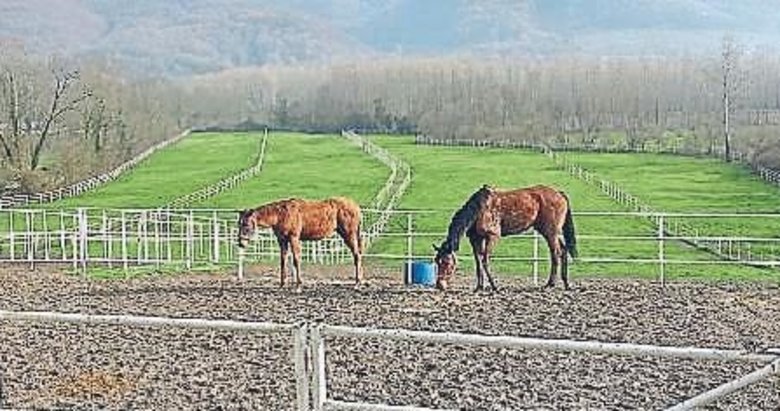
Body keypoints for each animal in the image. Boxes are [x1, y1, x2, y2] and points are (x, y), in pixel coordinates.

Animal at [236, 198, 364, 292]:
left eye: (246, 224)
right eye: (239, 224)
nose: (241, 243)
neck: (281, 215)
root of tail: (356, 207)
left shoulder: (294, 238)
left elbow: (296, 260)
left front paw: (298, 286)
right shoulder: (282, 240)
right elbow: (283, 261)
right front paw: (282, 285)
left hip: (349, 235)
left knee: (357, 255)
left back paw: (357, 283)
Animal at [432, 185, 580, 292]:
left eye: (446, 262)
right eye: (437, 262)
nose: (439, 285)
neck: (480, 209)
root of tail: (559, 194)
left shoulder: (492, 237)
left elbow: (485, 260)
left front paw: (494, 286)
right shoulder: (475, 239)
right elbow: (478, 262)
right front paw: (479, 287)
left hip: (551, 232)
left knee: (556, 254)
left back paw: (550, 284)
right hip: (550, 232)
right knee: (563, 250)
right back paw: (565, 283)